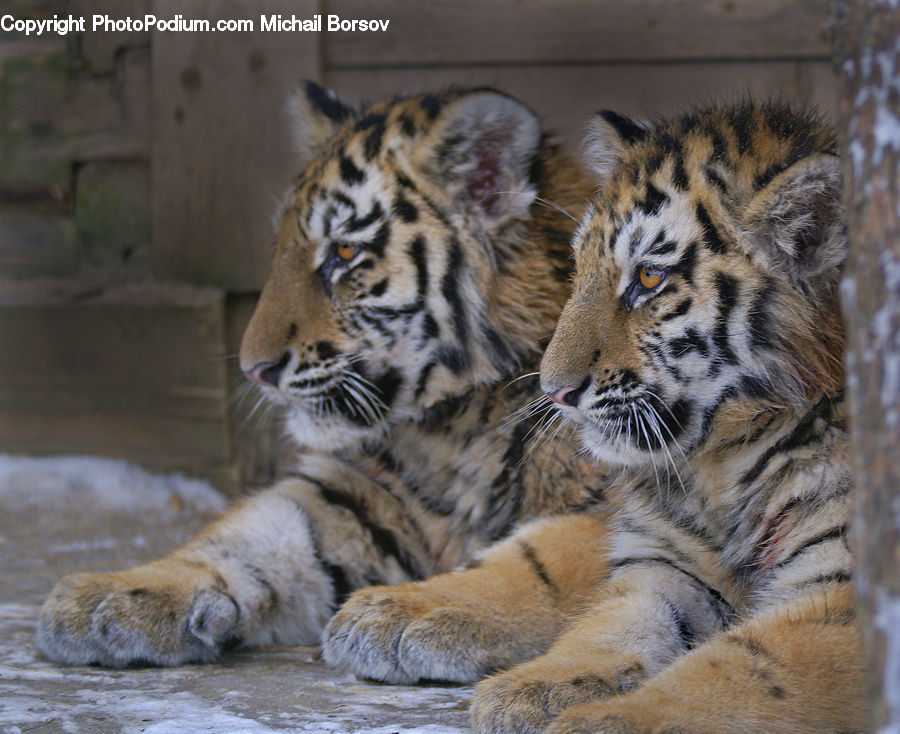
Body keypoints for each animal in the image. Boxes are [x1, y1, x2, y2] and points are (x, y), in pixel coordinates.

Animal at [36, 83, 613, 672]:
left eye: (344, 251)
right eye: (280, 249)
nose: (255, 370)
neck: (451, 429)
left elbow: (544, 558)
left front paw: (405, 613)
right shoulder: (362, 495)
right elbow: (259, 532)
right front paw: (112, 593)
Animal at [323, 101, 867, 733]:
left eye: (650, 278)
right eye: (579, 267)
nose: (554, 390)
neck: (725, 463)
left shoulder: (844, 595)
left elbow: (743, 669)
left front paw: (601, 721)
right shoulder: (663, 564)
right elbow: (605, 627)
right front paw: (531, 688)